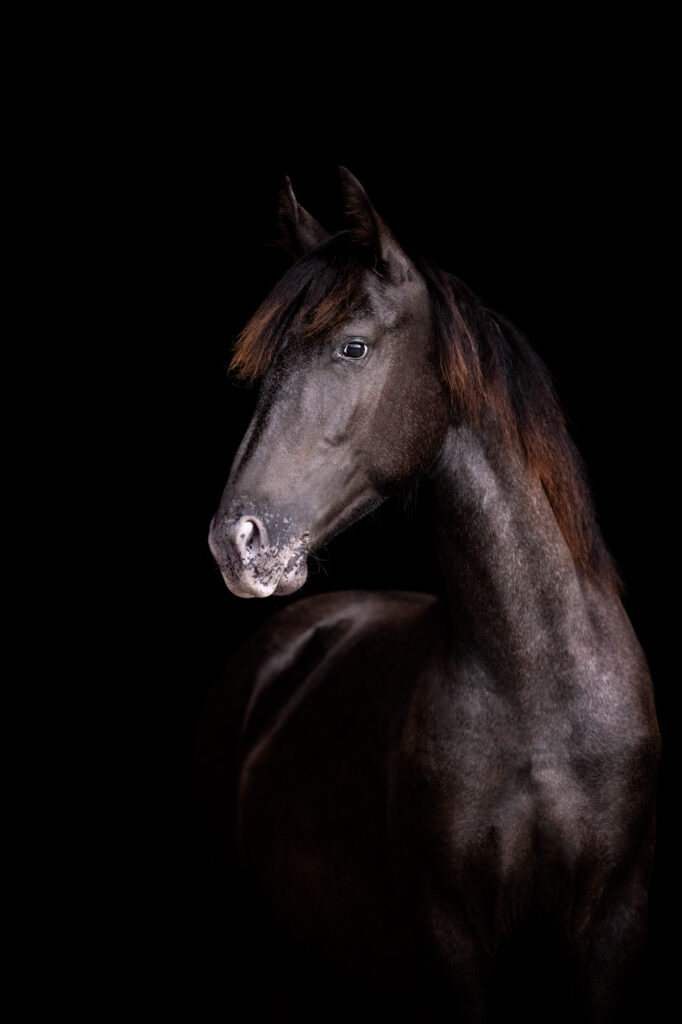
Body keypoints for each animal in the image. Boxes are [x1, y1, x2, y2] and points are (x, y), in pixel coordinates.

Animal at [199, 169, 660, 1022]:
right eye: (268, 363)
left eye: (352, 346)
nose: (234, 543)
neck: (537, 693)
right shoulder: (453, 939)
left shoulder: (615, 926)